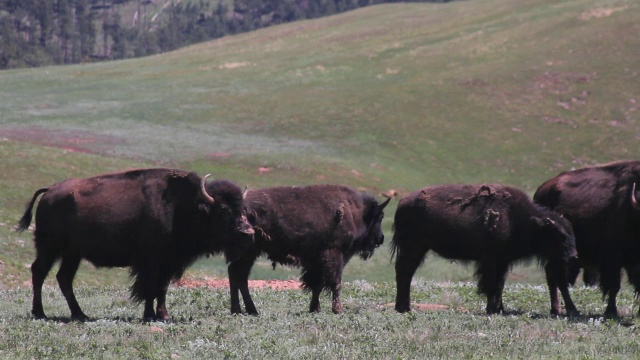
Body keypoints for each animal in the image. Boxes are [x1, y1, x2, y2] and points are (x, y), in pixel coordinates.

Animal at [15, 167, 255, 322]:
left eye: (242, 209)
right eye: (223, 211)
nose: (248, 232)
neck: (186, 207)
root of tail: (50, 191)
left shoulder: (168, 263)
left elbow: (161, 288)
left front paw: (163, 315)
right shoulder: (150, 262)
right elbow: (149, 288)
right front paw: (149, 315)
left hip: (72, 254)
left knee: (63, 278)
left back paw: (79, 314)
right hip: (50, 248)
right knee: (39, 271)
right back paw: (40, 313)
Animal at [228, 186, 392, 316]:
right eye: (380, 216)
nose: (381, 238)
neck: (355, 212)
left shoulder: (317, 262)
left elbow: (317, 285)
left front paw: (315, 308)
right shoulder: (335, 255)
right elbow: (335, 282)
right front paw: (337, 309)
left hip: (248, 255)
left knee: (238, 275)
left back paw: (244, 310)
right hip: (248, 253)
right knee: (238, 275)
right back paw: (244, 310)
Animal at [390, 184, 580, 316]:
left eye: (572, 233)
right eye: (559, 235)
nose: (573, 256)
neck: (523, 219)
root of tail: (402, 203)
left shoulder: (503, 261)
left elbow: (499, 285)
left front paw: (499, 309)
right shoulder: (490, 259)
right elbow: (491, 284)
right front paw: (492, 309)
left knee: (405, 272)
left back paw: (403, 307)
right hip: (413, 248)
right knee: (404, 272)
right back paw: (404, 308)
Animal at [532, 162, 640, 316]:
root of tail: (541, 191)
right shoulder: (613, 259)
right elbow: (613, 286)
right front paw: (611, 312)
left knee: (552, 275)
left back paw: (556, 309)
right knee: (559, 278)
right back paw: (571, 309)